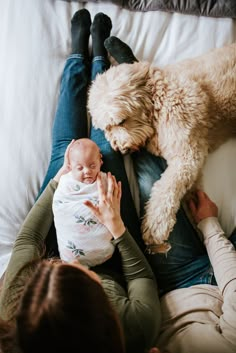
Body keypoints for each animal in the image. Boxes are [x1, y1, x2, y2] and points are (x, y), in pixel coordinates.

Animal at [88, 42, 236, 250]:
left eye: (121, 121)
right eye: (106, 128)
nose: (119, 149)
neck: (158, 100)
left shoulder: (187, 156)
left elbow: (167, 188)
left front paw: (155, 225)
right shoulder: (194, 164)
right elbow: (190, 189)